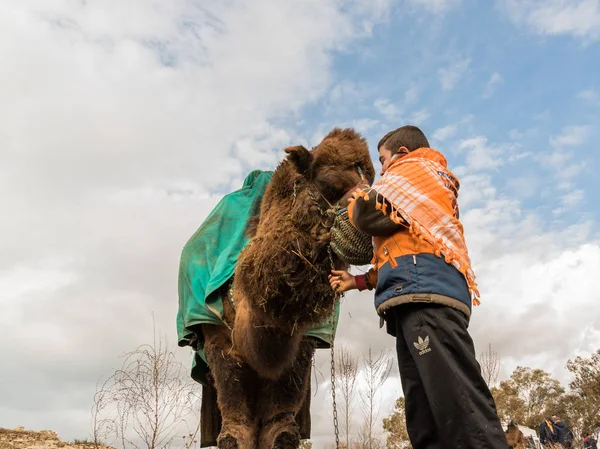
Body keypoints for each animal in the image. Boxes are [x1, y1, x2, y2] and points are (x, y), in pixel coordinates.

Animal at [202, 128, 376, 446]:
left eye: (371, 182)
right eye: (328, 184)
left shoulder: (302, 344)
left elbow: (280, 430)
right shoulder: (217, 338)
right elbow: (235, 429)